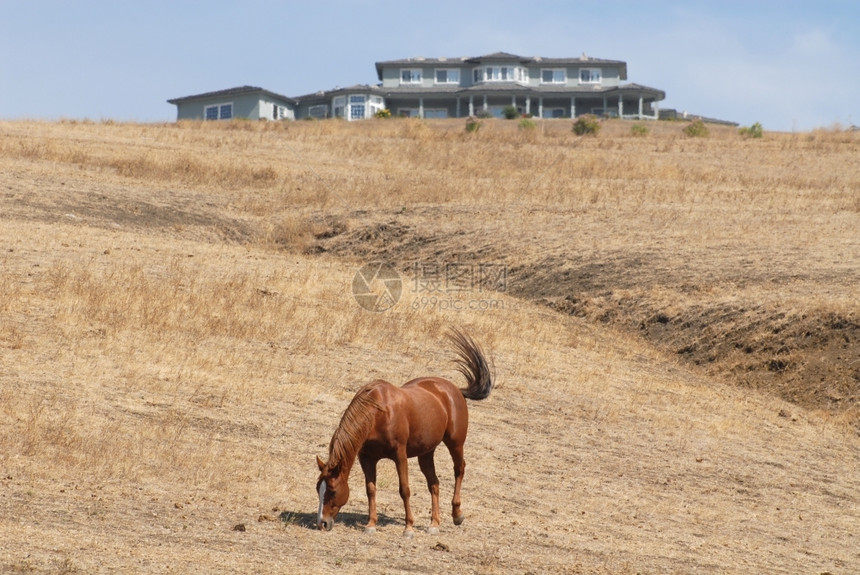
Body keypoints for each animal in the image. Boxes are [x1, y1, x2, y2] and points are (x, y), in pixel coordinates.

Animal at [316, 330, 494, 536]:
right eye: (318, 489)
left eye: (333, 490)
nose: (322, 523)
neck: (377, 414)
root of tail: (455, 390)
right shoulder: (367, 458)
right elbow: (371, 489)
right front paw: (371, 525)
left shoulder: (400, 455)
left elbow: (404, 489)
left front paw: (408, 527)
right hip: (426, 453)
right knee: (434, 483)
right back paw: (434, 524)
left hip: (455, 443)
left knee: (459, 469)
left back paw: (457, 514)